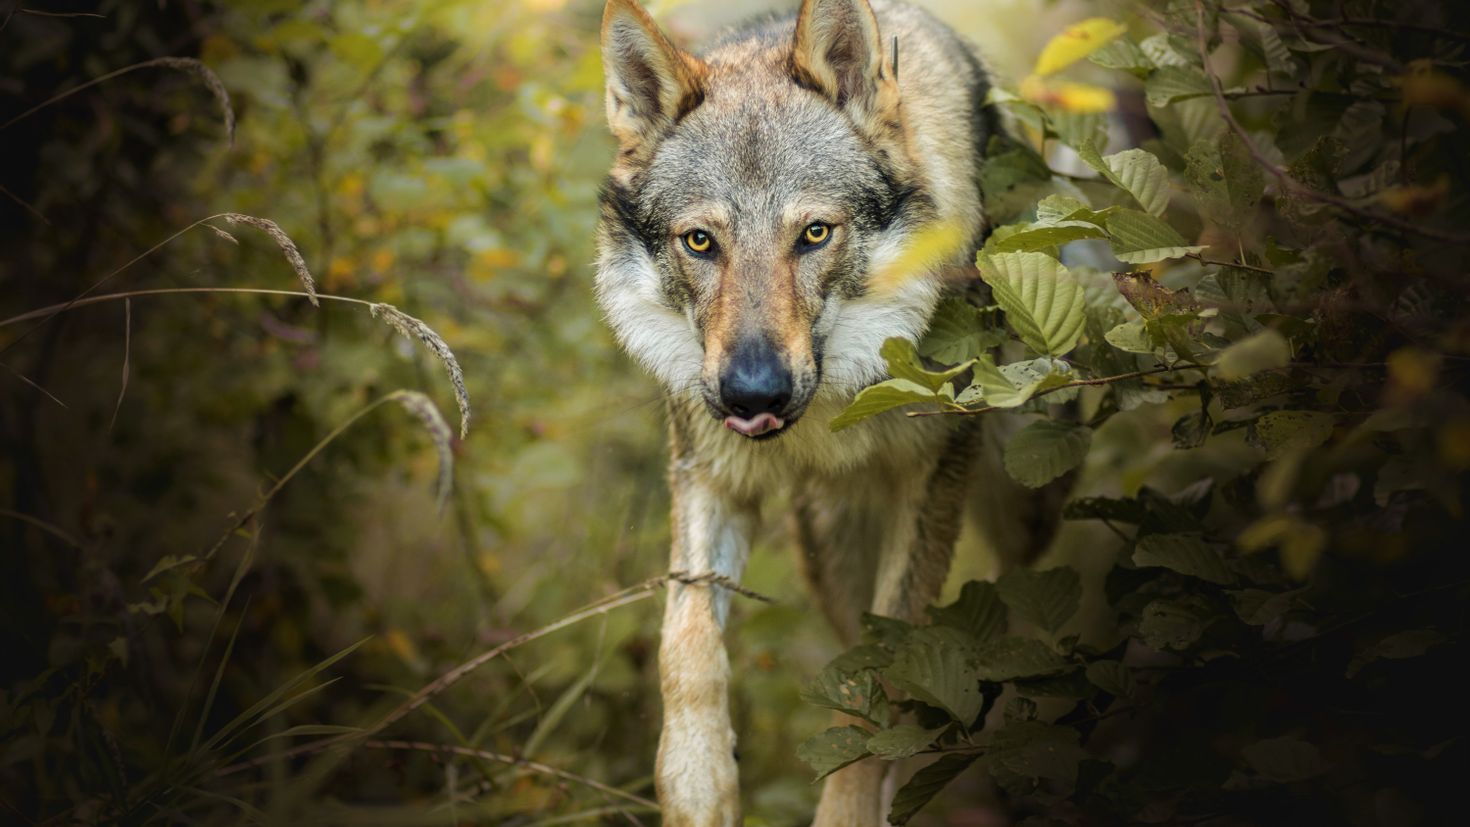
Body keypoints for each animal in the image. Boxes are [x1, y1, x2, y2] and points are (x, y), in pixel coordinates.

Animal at [590, 1, 1064, 822]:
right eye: (700, 242)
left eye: (814, 234)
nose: (752, 394)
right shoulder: (709, 474)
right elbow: (685, 643)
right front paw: (696, 783)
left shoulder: (934, 482)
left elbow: (889, 671)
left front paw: (848, 807)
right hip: (827, 547)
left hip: (1017, 494)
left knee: (1012, 600)